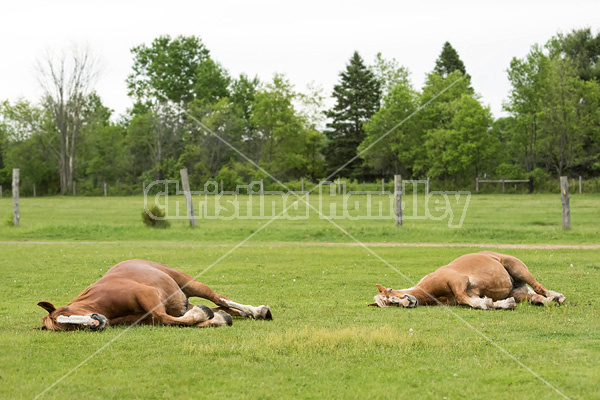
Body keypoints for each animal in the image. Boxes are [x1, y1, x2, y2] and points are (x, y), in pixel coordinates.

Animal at [37, 260, 272, 332]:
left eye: (67, 312)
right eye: (66, 327)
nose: (95, 323)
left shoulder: (147, 294)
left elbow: (163, 317)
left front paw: (205, 316)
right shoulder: (146, 318)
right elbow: (174, 321)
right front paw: (215, 319)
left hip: (190, 284)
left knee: (218, 298)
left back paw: (258, 310)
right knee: (219, 307)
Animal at [372, 252, 564, 310]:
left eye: (391, 292)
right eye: (390, 303)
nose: (407, 302)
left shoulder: (459, 281)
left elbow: (466, 297)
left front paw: (486, 304)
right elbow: (478, 301)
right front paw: (502, 304)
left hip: (517, 268)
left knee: (539, 288)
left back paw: (557, 296)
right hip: (518, 292)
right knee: (536, 297)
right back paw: (549, 300)